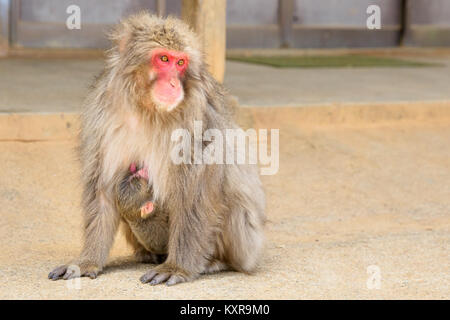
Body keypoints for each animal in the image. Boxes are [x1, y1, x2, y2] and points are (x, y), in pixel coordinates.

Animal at [48, 13, 268, 284]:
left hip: (245, 243)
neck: (148, 108)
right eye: (164, 59)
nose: (174, 83)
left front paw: (177, 267)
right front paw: (87, 261)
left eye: (181, 62)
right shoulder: (101, 113)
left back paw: (215, 262)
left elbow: (195, 192)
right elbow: (102, 188)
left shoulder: (198, 118)